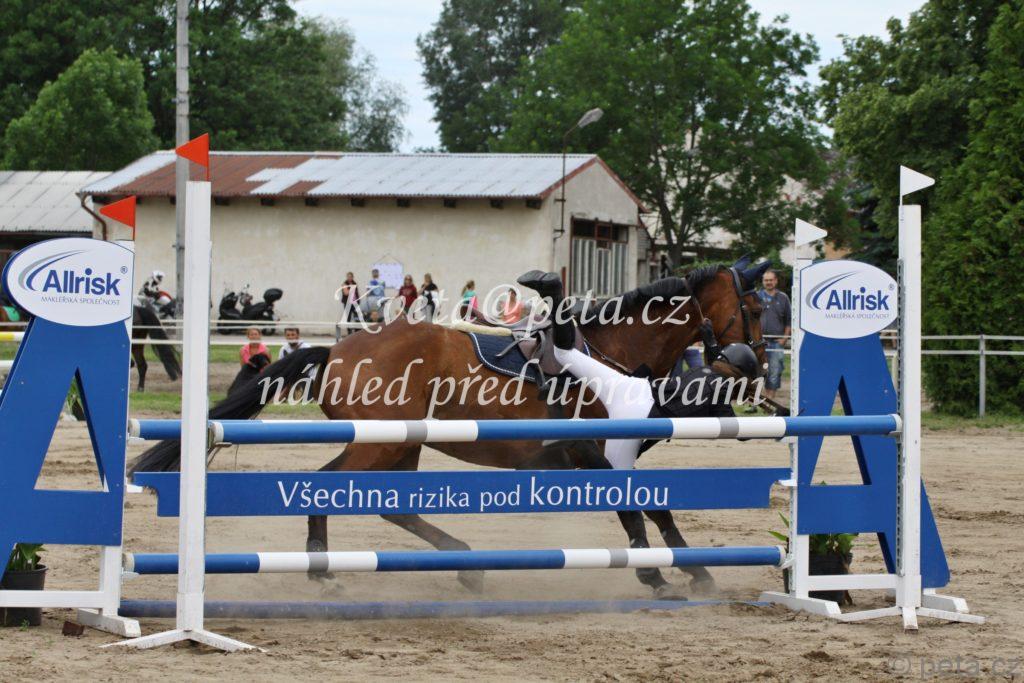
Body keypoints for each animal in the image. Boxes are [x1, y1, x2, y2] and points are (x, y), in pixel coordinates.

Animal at [131, 259, 771, 598]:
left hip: (401, 443)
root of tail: (338, 349)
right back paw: (326, 571)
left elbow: (655, 509)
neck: (616, 350)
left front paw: (692, 571)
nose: (761, 365)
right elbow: (643, 511)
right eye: (756, 308)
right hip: (382, 442)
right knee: (334, 489)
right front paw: (667, 575)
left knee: (390, 504)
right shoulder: (598, 454)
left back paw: (465, 564)